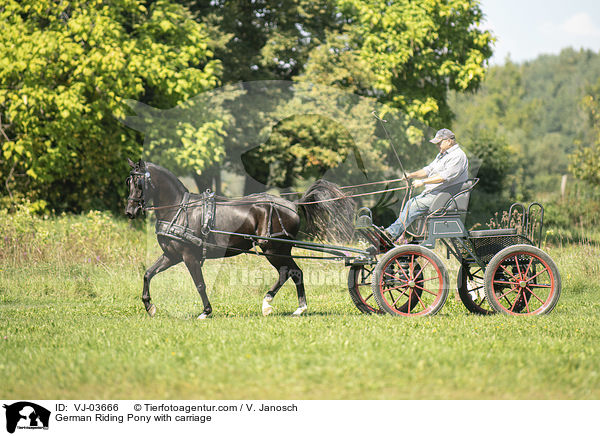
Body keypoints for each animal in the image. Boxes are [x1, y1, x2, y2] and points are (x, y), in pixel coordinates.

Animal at [124, 158, 354, 318]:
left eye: (139, 182)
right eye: (129, 182)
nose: (129, 211)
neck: (179, 209)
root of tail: (293, 205)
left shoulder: (189, 256)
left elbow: (200, 284)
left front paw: (205, 312)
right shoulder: (172, 255)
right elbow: (148, 274)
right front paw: (149, 306)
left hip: (274, 249)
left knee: (291, 272)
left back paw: (282, 305)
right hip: (277, 250)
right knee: (290, 272)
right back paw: (285, 306)